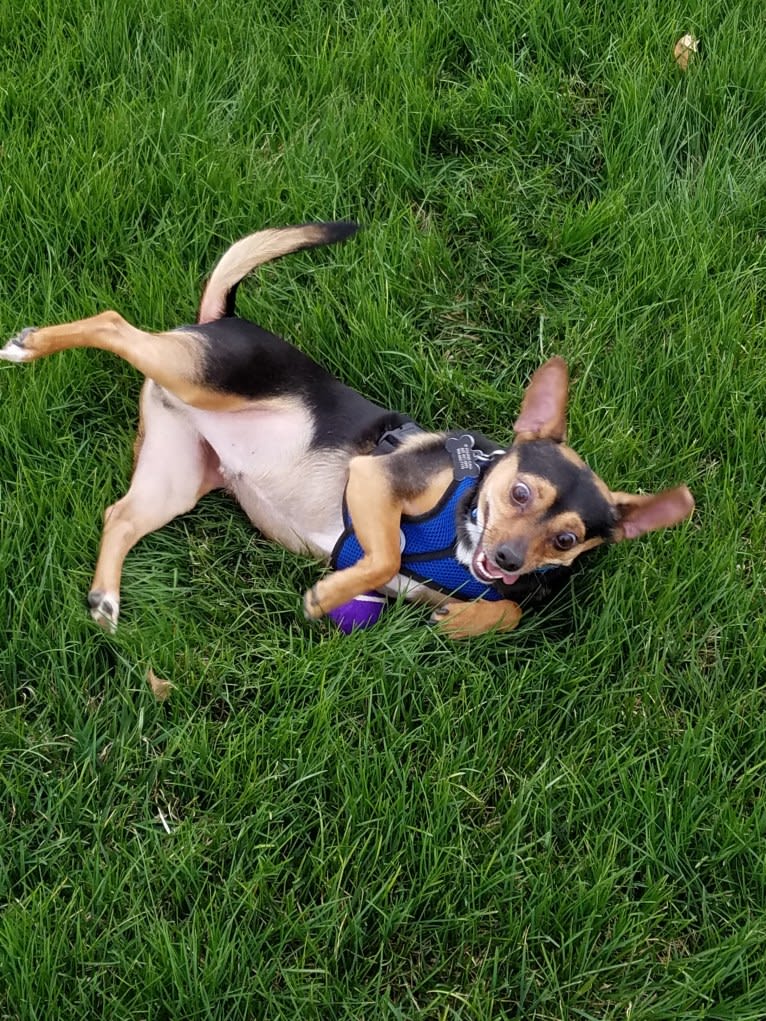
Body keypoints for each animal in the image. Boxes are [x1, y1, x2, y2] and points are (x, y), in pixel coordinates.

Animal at [0, 223, 694, 637]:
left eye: (568, 539)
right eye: (521, 493)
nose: (506, 559)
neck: (466, 516)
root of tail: (222, 317)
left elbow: (508, 610)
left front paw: (462, 620)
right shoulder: (373, 479)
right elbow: (385, 550)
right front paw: (327, 593)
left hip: (175, 476)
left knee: (120, 516)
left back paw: (105, 599)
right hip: (198, 376)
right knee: (115, 324)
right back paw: (29, 346)